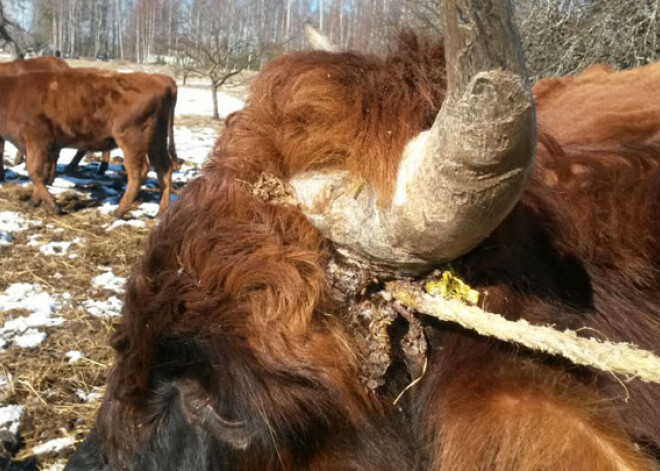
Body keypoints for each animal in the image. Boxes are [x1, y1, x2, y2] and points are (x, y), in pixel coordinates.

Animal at [0, 68, 175, 216]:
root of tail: (159, 79)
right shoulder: (48, 146)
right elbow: (42, 173)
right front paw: (34, 201)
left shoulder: (37, 141)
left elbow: (34, 172)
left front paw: (53, 205)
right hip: (156, 140)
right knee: (164, 169)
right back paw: (162, 212)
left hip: (132, 140)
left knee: (138, 172)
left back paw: (119, 211)